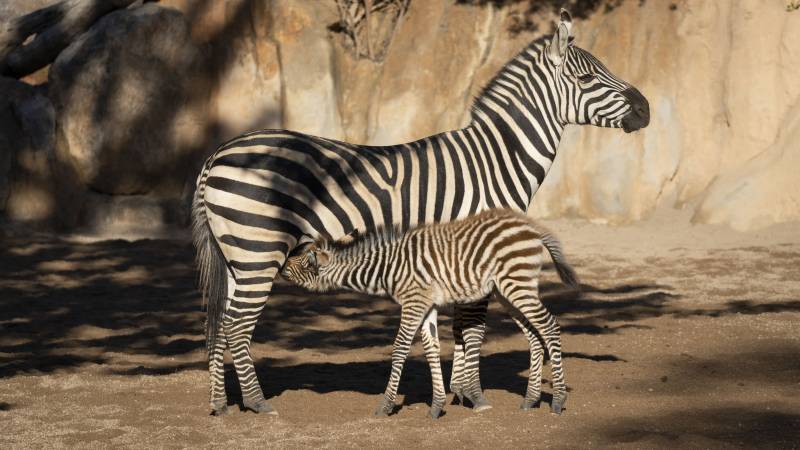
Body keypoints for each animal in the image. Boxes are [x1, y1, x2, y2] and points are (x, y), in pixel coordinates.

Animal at [282, 208, 580, 418]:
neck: (387, 268)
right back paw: (530, 400)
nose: (282, 266)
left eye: (305, 262)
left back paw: (558, 401)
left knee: (549, 326)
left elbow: (400, 348)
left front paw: (386, 405)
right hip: (507, 292)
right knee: (534, 334)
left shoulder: (413, 302)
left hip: (516, 284)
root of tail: (531, 227)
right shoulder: (427, 306)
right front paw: (437, 406)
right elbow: (432, 349)